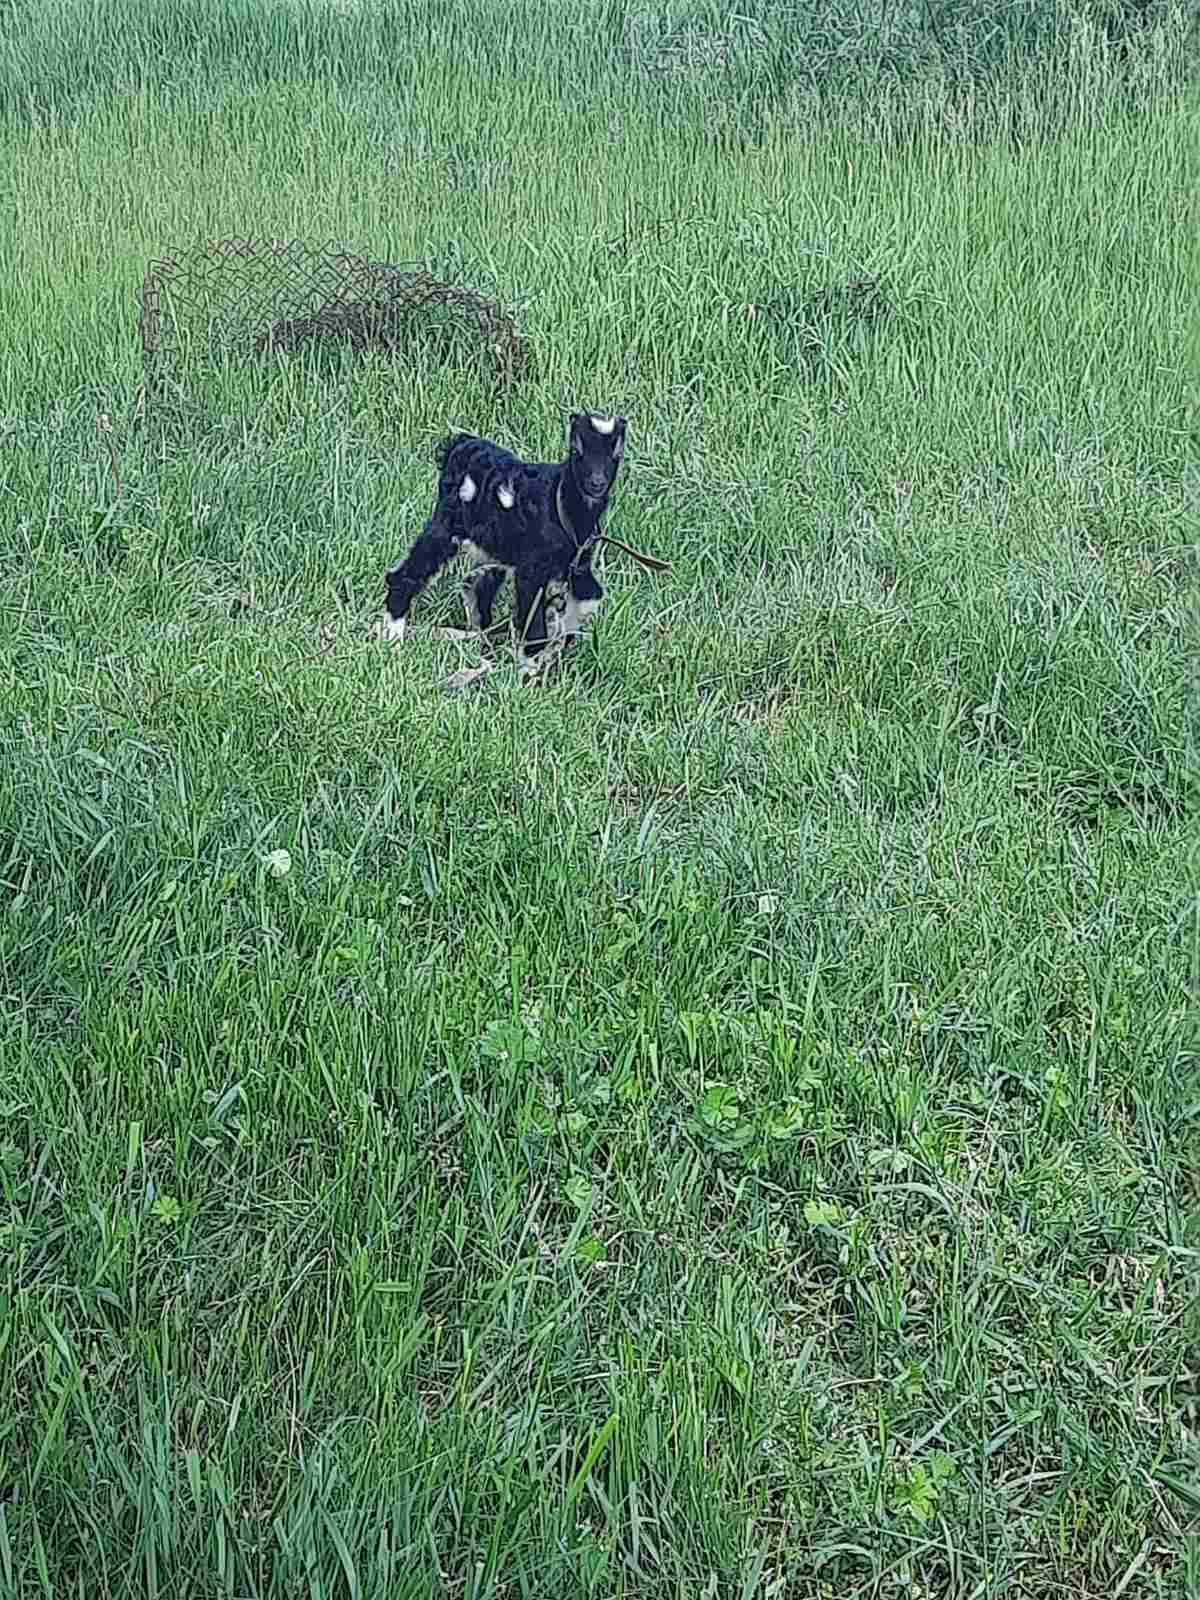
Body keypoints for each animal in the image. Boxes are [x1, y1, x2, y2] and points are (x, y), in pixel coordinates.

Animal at [382, 412, 630, 675]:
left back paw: (481, 643)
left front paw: (561, 640)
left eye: (616, 455)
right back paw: (393, 638)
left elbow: (591, 595)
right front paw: (529, 669)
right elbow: (534, 626)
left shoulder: (579, 563)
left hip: (493, 545)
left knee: (476, 586)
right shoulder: (532, 569)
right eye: (577, 451)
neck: (560, 503)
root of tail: (462, 445)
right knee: (409, 573)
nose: (597, 483)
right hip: (448, 527)